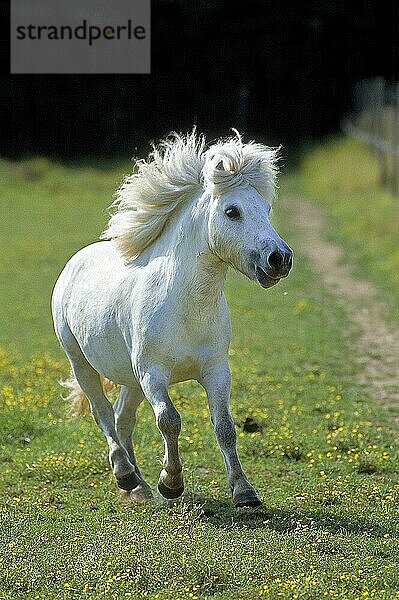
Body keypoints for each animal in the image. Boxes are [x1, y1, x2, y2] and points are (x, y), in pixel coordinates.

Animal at [51, 130, 292, 506]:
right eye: (232, 211)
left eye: (266, 209)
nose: (279, 258)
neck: (187, 307)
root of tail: (77, 260)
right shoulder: (153, 373)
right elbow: (169, 421)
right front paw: (172, 483)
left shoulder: (216, 370)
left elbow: (225, 427)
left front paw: (244, 491)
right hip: (83, 363)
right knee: (103, 414)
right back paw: (125, 475)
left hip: (130, 378)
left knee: (123, 419)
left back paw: (139, 487)